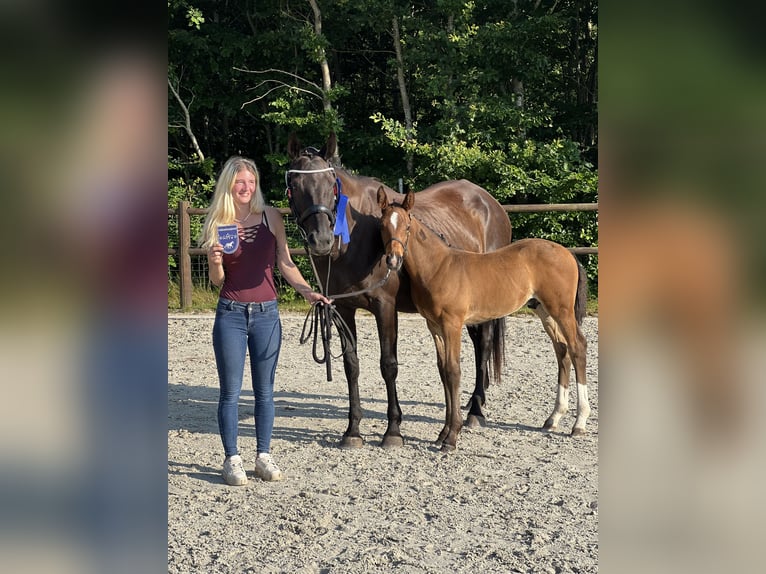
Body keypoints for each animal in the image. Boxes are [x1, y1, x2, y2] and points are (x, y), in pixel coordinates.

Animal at [285, 133, 513, 448]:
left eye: (331, 184)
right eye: (295, 185)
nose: (320, 240)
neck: (353, 238)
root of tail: (491, 203)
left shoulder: (385, 306)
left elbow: (388, 364)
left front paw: (393, 430)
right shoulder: (342, 308)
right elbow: (351, 365)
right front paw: (352, 430)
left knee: (485, 345)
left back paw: (475, 412)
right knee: (480, 344)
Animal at [377, 187, 590, 451]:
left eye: (407, 226)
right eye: (382, 225)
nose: (393, 260)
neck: (439, 267)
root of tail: (568, 253)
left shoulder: (452, 324)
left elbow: (453, 371)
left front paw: (452, 437)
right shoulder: (434, 326)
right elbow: (442, 371)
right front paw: (443, 433)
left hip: (562, 310)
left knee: (577, 347)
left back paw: (579, 423)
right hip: (544, 310)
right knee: (562, 350)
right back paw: (553, 418)